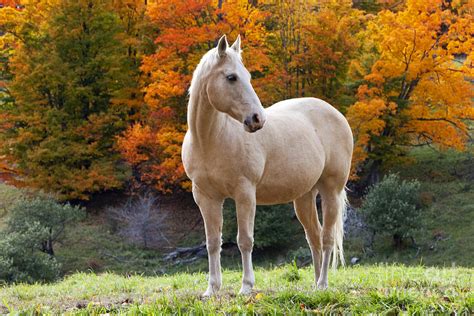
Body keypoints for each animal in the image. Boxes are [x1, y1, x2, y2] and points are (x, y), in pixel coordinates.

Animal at [181, 34, 352, 296]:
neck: (210, 140)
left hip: (330, 190)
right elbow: (212, 242)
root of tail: (337, 115)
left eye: (248, 76)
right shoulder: (206, 197)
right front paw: (212, 289)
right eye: (231, 77)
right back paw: (314, 285)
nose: (257, 119)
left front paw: (246, 287)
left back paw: (323, 284)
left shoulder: (244, 194)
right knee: (313, 237)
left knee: (326, 238)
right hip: (304, 197)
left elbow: (245, 240)